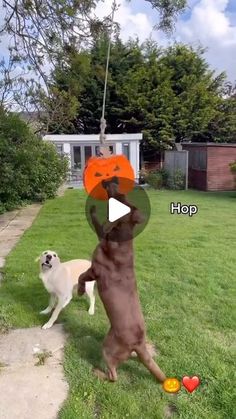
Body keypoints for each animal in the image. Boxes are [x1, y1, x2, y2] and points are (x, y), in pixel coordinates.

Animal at [78, 180, 165, 384]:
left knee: (113, 376)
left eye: (119, 195)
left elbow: (81, 277)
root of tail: (139, 345)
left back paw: (97, 372)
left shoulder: (95, 269)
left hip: (108, 348)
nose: (112, 179)